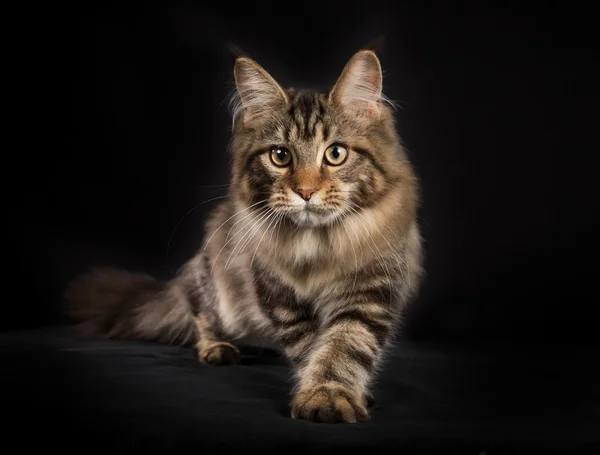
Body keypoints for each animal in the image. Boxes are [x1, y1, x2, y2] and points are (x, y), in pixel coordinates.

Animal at [64, 46, 422, 424]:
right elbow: (311, 346)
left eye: (335, 153)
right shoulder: (278, 294)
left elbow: (343, 344)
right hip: (213, 284)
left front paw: (328, 395)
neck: (317, 243)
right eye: (280, 156)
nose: (306, 192)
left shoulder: (371, 289)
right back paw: (217, 348)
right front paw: (321, 394)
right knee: (201, 314)